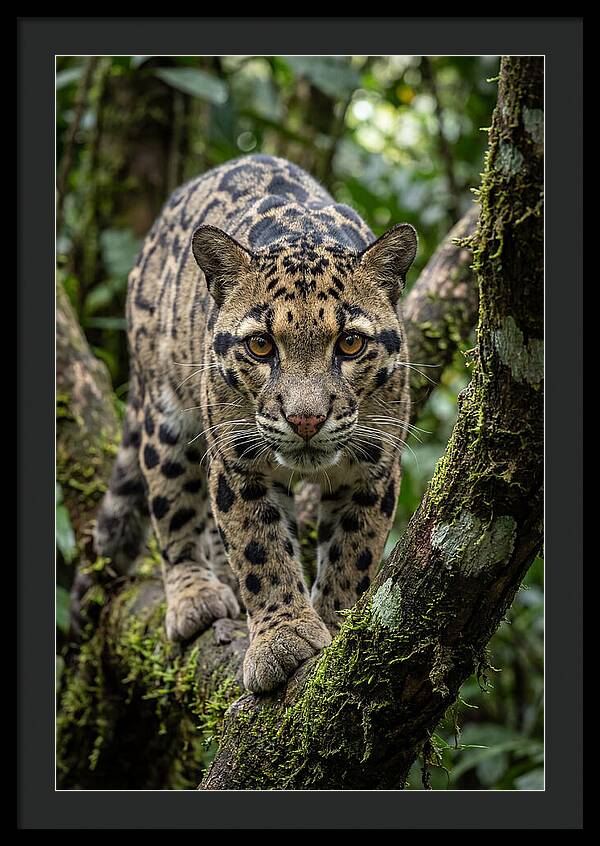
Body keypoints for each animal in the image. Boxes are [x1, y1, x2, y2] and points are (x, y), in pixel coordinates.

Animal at [94, 154, 417, 694]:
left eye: (350, 343)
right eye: (261, 345)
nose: (306, 419)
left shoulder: (374, 465)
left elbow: (354, 552)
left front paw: (336, 625)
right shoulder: (238, 460)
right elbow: (259, 548)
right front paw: (283, 639)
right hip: (165, 415)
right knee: (173, 508)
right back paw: (196, 595)